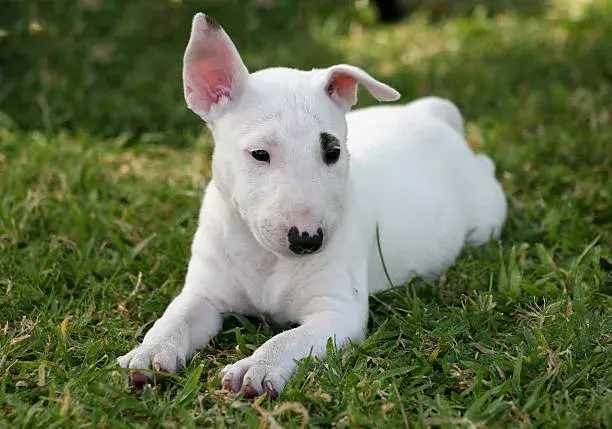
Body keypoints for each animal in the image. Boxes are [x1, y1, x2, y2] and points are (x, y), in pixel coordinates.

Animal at [116, 11, 506, 396]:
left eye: (333, 152)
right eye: (259, 154)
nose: (308, 240)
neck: (266, 258)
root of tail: (431, 114)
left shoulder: (336, 312)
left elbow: (287, 339)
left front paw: (256, 367)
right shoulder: (204, 294)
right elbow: (176, 318)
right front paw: (149, 352)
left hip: (485, 214)